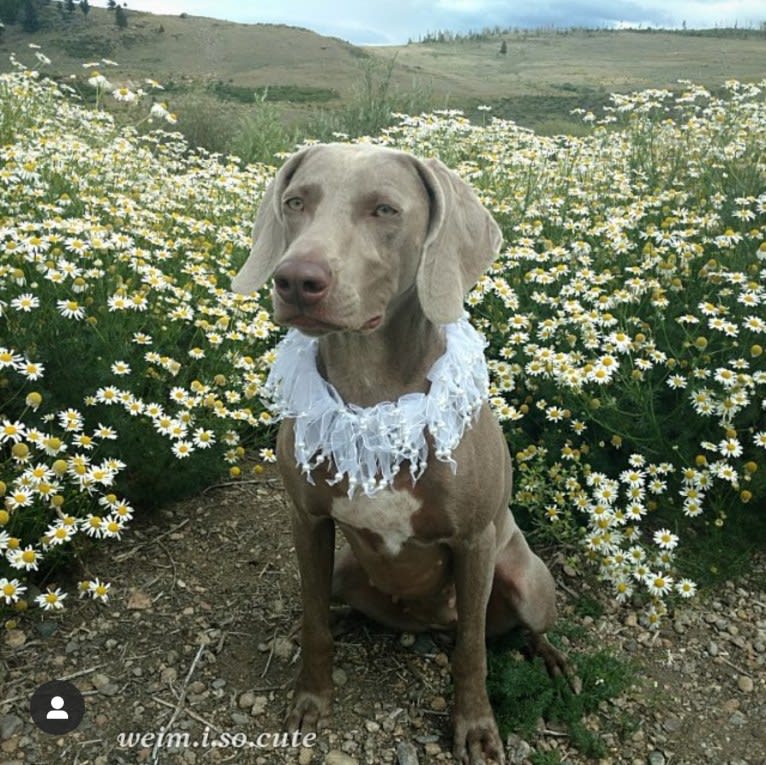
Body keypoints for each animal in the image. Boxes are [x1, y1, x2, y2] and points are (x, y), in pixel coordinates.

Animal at [231, 143, 572, 764]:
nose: (295, 279)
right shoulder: (307, 519)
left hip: (527, 581)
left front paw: (476, 727)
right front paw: (311, 698)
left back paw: (553, 659)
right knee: (339, 604)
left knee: (515, 628)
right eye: (295, 202)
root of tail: (428, 622)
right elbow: (312, 618)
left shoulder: (475, 539)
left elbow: (472, 654)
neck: (372, 391)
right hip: (347, 570)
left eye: (385, 210)